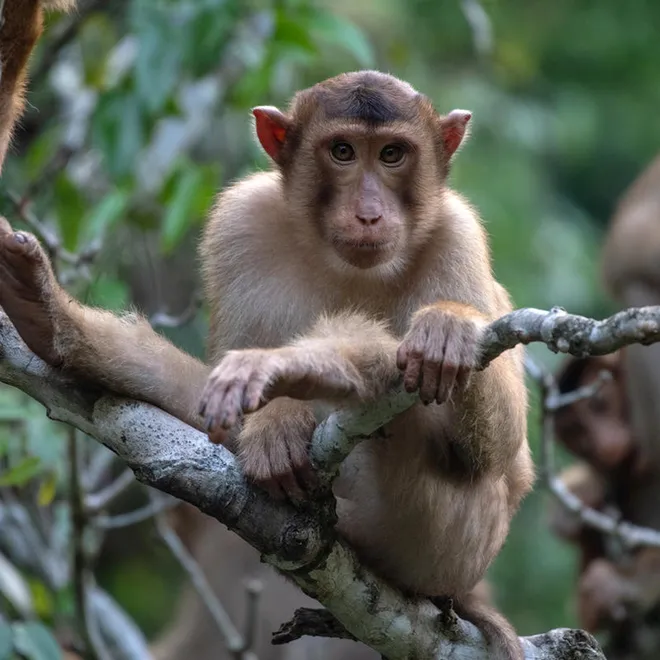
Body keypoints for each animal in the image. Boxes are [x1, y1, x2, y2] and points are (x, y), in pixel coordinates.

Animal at [0, 70, 533, 659]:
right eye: (343, 152)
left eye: (392, 154)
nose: (369, 213)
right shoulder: (240, 224)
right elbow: (216, 406)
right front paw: (275, 418)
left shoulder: (459, 236)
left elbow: (499, 453)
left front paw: (447, 327)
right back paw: (52, 321)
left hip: (447, 545)